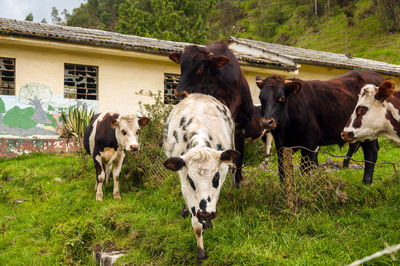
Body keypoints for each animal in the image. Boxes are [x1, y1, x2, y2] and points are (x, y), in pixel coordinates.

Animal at [162, 93, 239, 262]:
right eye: (191, 180)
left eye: (215, 178)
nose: (205, 213)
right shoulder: (184, 182)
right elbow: (196, 225)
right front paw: (201, 252)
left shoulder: (221, 178)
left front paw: (209, 223)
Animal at [256, 69, 384, 184]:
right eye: (261, 98)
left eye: (281, 98)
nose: (267, 122)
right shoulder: (281, 145)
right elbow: (282, 170)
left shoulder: (309, 141)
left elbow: (305, 168)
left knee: (371, 152)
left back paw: (367, 181)